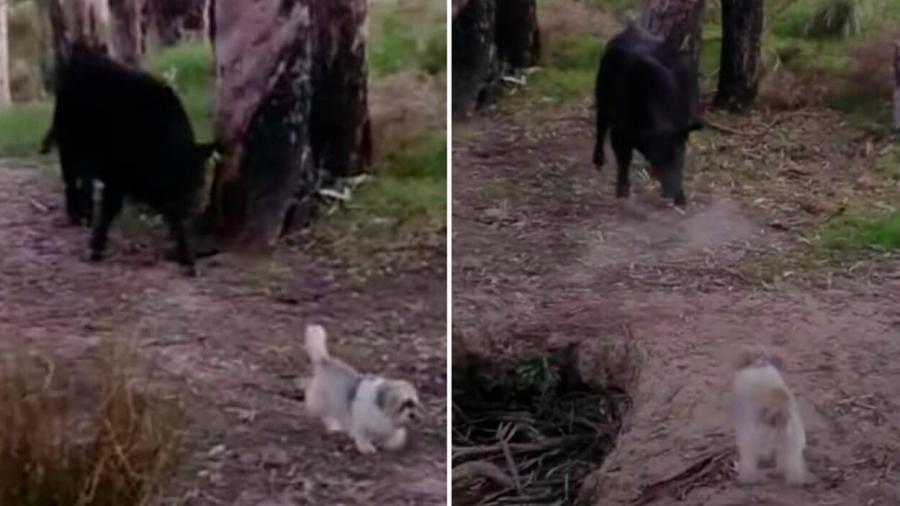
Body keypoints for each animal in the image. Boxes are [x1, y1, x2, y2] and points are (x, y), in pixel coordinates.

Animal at [596, 23, 708, 206]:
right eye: (659, 157)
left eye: (680, 155)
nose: (671, 194)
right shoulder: (620, 130)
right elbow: (623, 159)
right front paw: (622, 194)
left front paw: (682, 200)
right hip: (601, 96)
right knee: (600, 124)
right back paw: (598, 163)